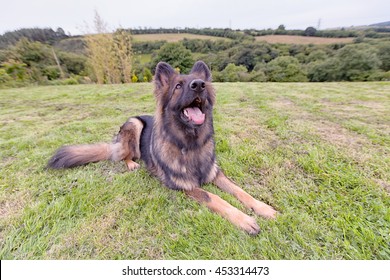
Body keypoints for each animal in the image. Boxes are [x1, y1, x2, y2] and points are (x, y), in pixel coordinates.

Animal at [47, 61, 276, 234]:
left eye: (200, 84)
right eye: (178, 86)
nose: (199, 85)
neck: (190, 144)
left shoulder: (215, 174)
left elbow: (240, 191)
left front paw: (264, 208)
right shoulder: (186, 186)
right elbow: (215, 197)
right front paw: (244, 219)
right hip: (134, 124)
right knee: (123, 155)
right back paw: (131, 164)